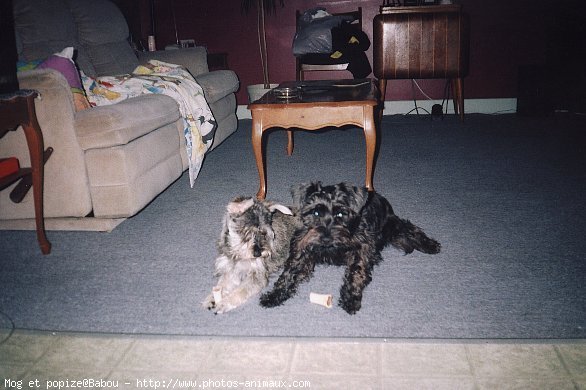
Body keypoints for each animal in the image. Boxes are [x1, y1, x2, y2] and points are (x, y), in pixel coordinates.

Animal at [258, 182, 438, 314]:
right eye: (315, 213)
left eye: (340, 214)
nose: (326, 237)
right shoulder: (302, 246)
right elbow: (289, 273)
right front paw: (274, 296)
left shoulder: (362, 249)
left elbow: (356, 273)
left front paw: (350, 299)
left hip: (392, 225)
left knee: (409, 229)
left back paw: (431, 245)